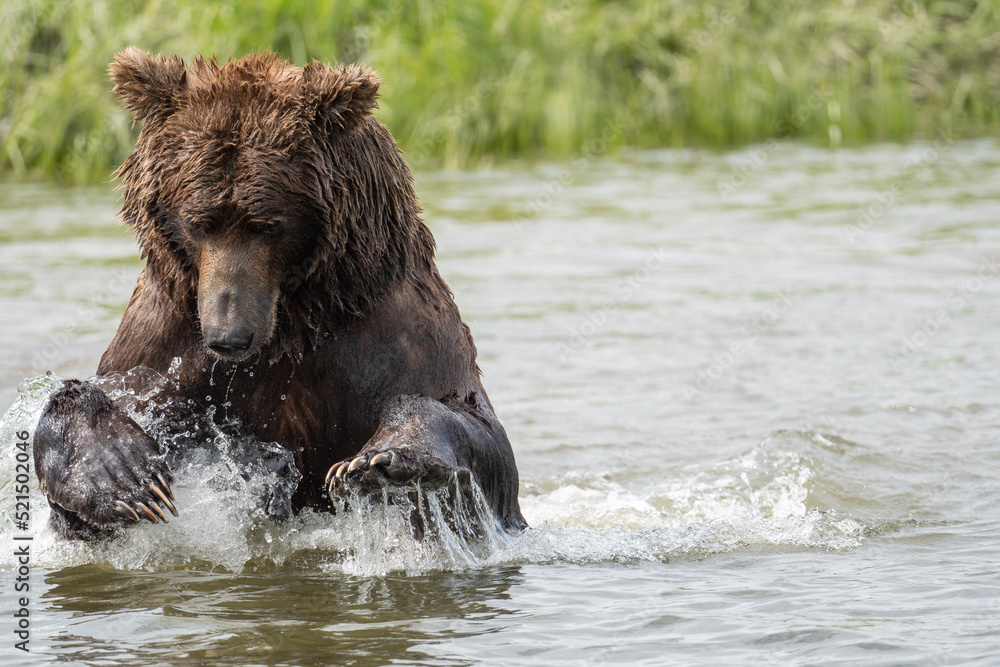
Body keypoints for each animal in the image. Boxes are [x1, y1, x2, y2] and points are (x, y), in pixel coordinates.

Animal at [31, 45, 528, 536]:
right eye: (198, 222)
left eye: (269, 225)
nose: (228, 337)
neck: (290, 327)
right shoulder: (168, 341)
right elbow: (108, 404)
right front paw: (121, 475)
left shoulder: (392, 337)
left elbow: (477, 434)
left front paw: (380, 461)